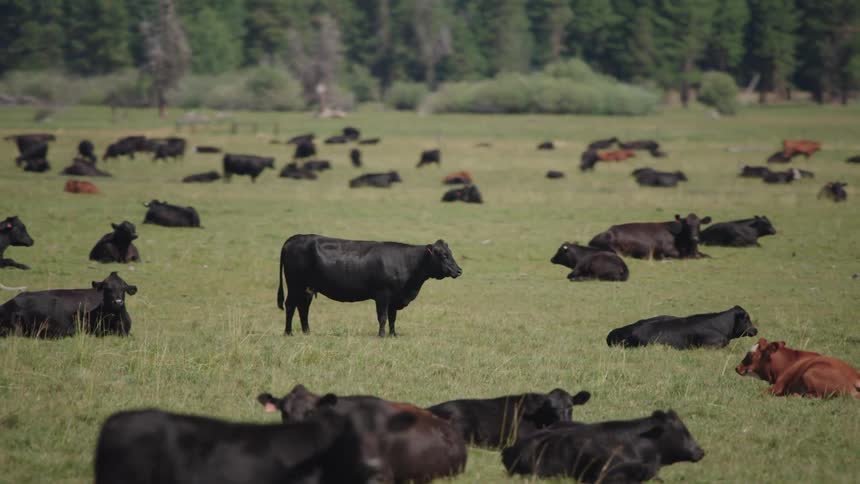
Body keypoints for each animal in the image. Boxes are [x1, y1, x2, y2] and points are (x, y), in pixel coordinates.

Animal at [276, 235, 462, 336]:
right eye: (443, 255)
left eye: (450, 253)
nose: (459, 270)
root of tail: (293, 239)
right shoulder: (383, 295)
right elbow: (383, 317)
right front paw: (381, 335)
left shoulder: (394, 298)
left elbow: (393, 317)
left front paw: (393, 334)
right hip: (294, 285)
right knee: (290, 306)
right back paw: (288, 332)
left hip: (307, 288)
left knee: (303, 308)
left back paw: (307, 332)